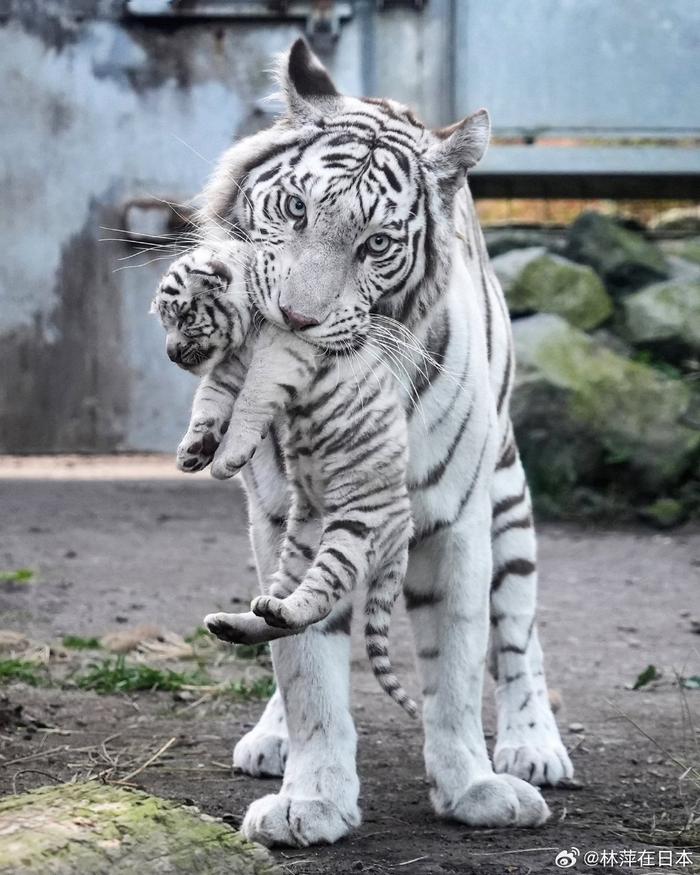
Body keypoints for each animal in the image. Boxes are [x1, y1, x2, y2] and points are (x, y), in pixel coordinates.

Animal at [178, 41, 572, 848]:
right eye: (297, 209)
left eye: (377, 244)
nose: (293, 318)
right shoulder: (279, 518)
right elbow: (303, 665)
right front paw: (310, 797)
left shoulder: (455, 525)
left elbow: (457, 667)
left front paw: (473, 787)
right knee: (281, 619)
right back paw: (271, 738)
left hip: (510, 504)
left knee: (519, 634)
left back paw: (533, 745)